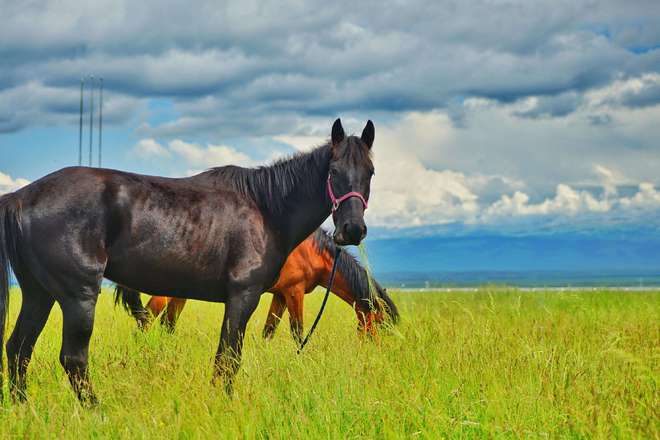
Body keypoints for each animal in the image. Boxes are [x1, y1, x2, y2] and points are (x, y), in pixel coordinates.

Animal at [116, 229, 400, 342]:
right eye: (379, 323)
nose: (376, 348)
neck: (313, 252)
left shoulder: (281, 296)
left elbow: (269, 331)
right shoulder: (294, 292)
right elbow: (298, 331)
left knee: (167, 324)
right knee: (147, 319)